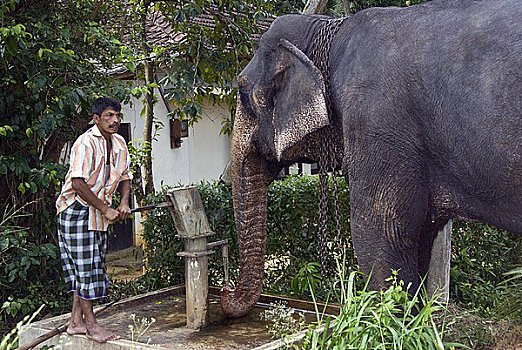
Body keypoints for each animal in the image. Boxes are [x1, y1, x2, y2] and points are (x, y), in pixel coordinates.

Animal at [219, 0, 520, 318]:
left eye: (242, 90)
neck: (331, 30)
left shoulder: (376, 119)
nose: (226, 291)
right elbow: (418, 237)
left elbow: (379, 232)